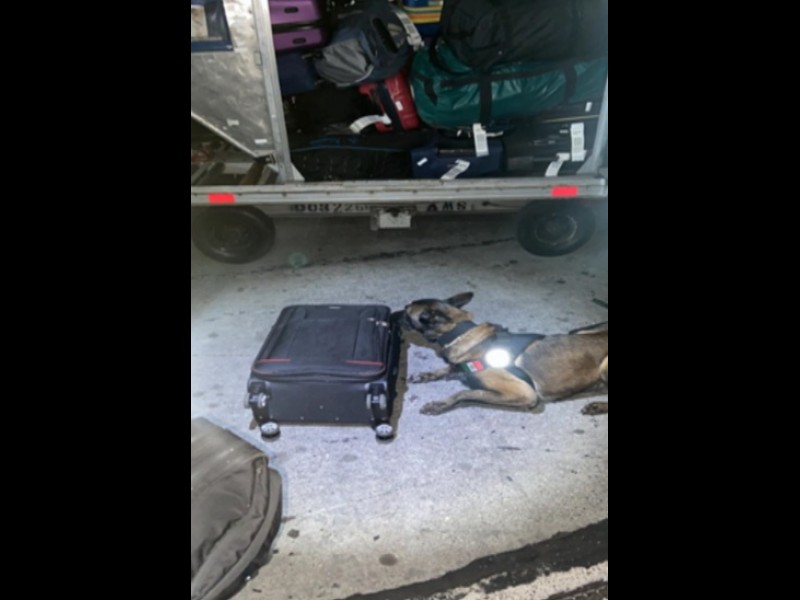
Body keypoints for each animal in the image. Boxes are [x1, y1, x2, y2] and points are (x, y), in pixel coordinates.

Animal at [400, 292, 608, 416]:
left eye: (406, 310)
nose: (397, 312)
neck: (462, 334)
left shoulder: (524, 393)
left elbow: (464, 392)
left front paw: (441, 404)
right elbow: (446, 369)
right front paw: (426, 375)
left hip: (604, 366)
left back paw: (597, 405)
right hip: (577, 331)